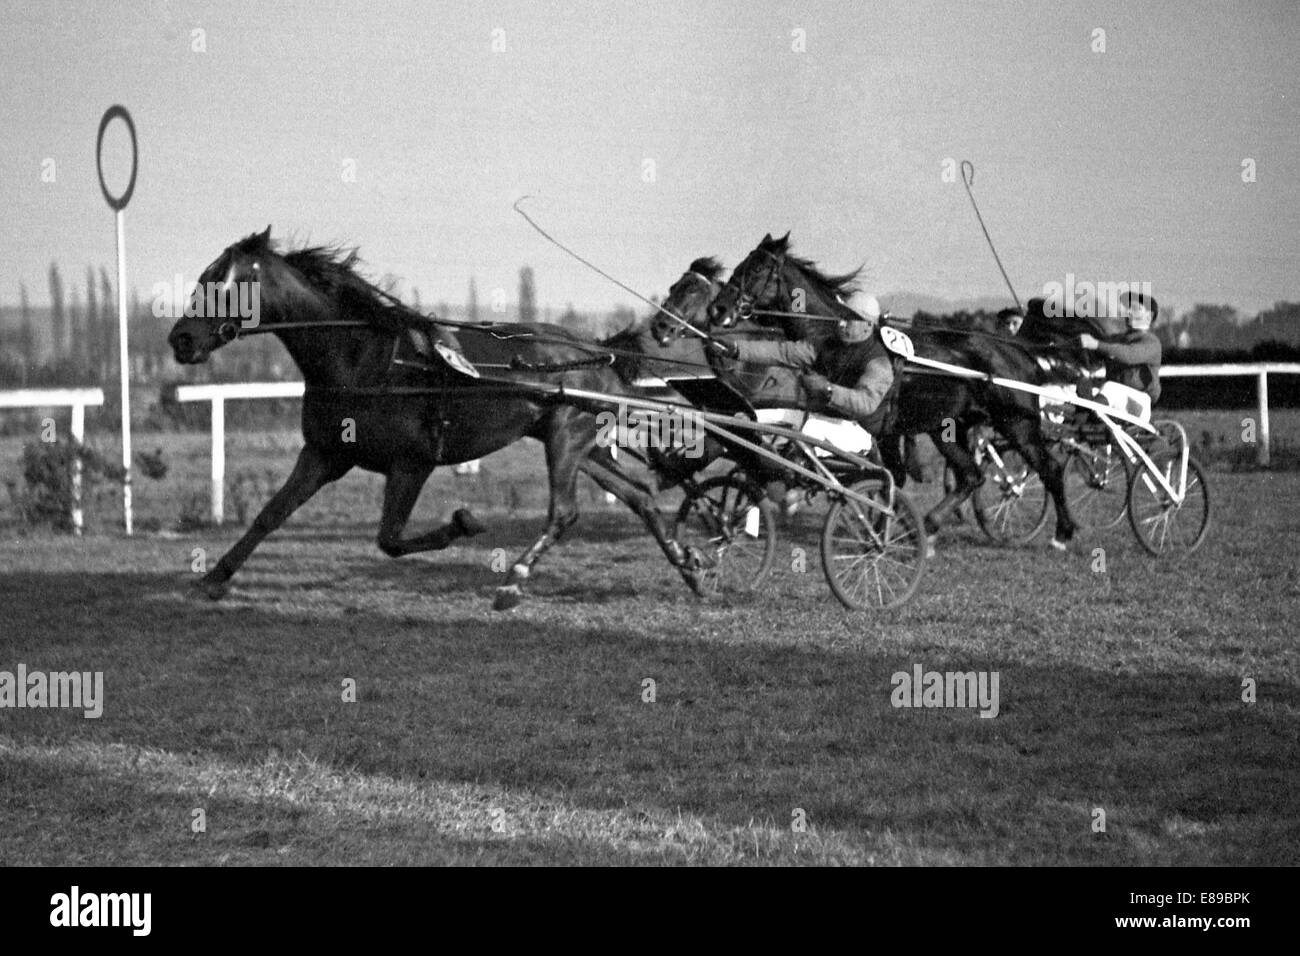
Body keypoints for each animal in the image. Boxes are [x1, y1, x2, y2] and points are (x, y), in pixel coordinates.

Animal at [169, 227, 717, 608]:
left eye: (224, 282)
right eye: (204, 277)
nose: (181, 339)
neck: (365, 359)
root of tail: (598, 350)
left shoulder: (412, 462)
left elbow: (390, 539)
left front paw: (464, 522)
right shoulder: (324, 453)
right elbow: (271, 513)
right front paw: (215, 578)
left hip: (567, 434)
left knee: (564, 511)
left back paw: (513, 583)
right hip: (585, 443)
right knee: (640, 494)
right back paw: (690, 567)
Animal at [702, 231, 1076, 554]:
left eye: (756, 269)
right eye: (740, 266)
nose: (717, 309)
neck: (838, 338)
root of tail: (1022, 352)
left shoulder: (866, 421)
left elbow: (869, 470)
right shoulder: (880, 430)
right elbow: (884, 476)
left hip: (1017, 424)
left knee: (1050, 468)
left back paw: (1063, 533)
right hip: (948, 428)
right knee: (971, 475)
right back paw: (930, 526)